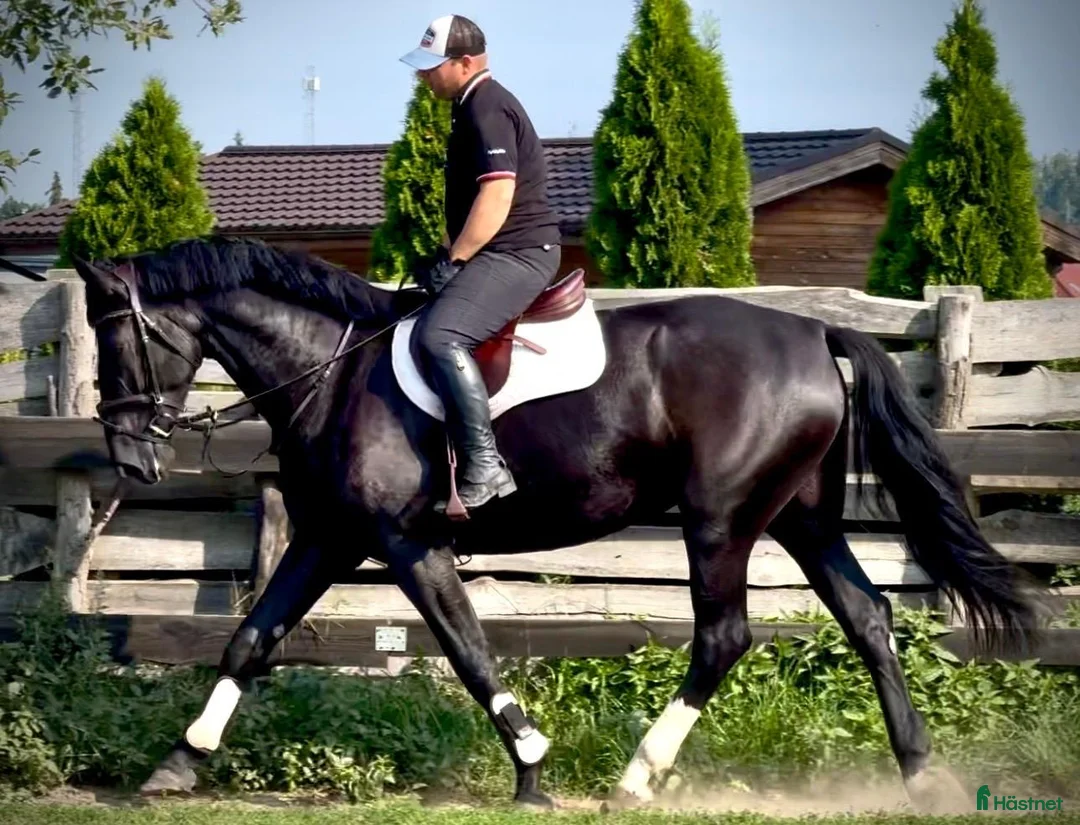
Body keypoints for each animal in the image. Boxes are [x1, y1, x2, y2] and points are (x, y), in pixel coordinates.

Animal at [70, 235, 1037, 811]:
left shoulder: (408, 544)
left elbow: (468, 651)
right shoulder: (328, 538)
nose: (130, 459)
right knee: (869, 617)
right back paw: (923, 773)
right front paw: (178, 762)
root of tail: (811, 332)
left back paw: (638, 777)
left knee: (724, 636)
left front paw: (532, 765)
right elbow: (250, 639)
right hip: (802, 519)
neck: (333, 372)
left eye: (117, 339)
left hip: (721, 520)